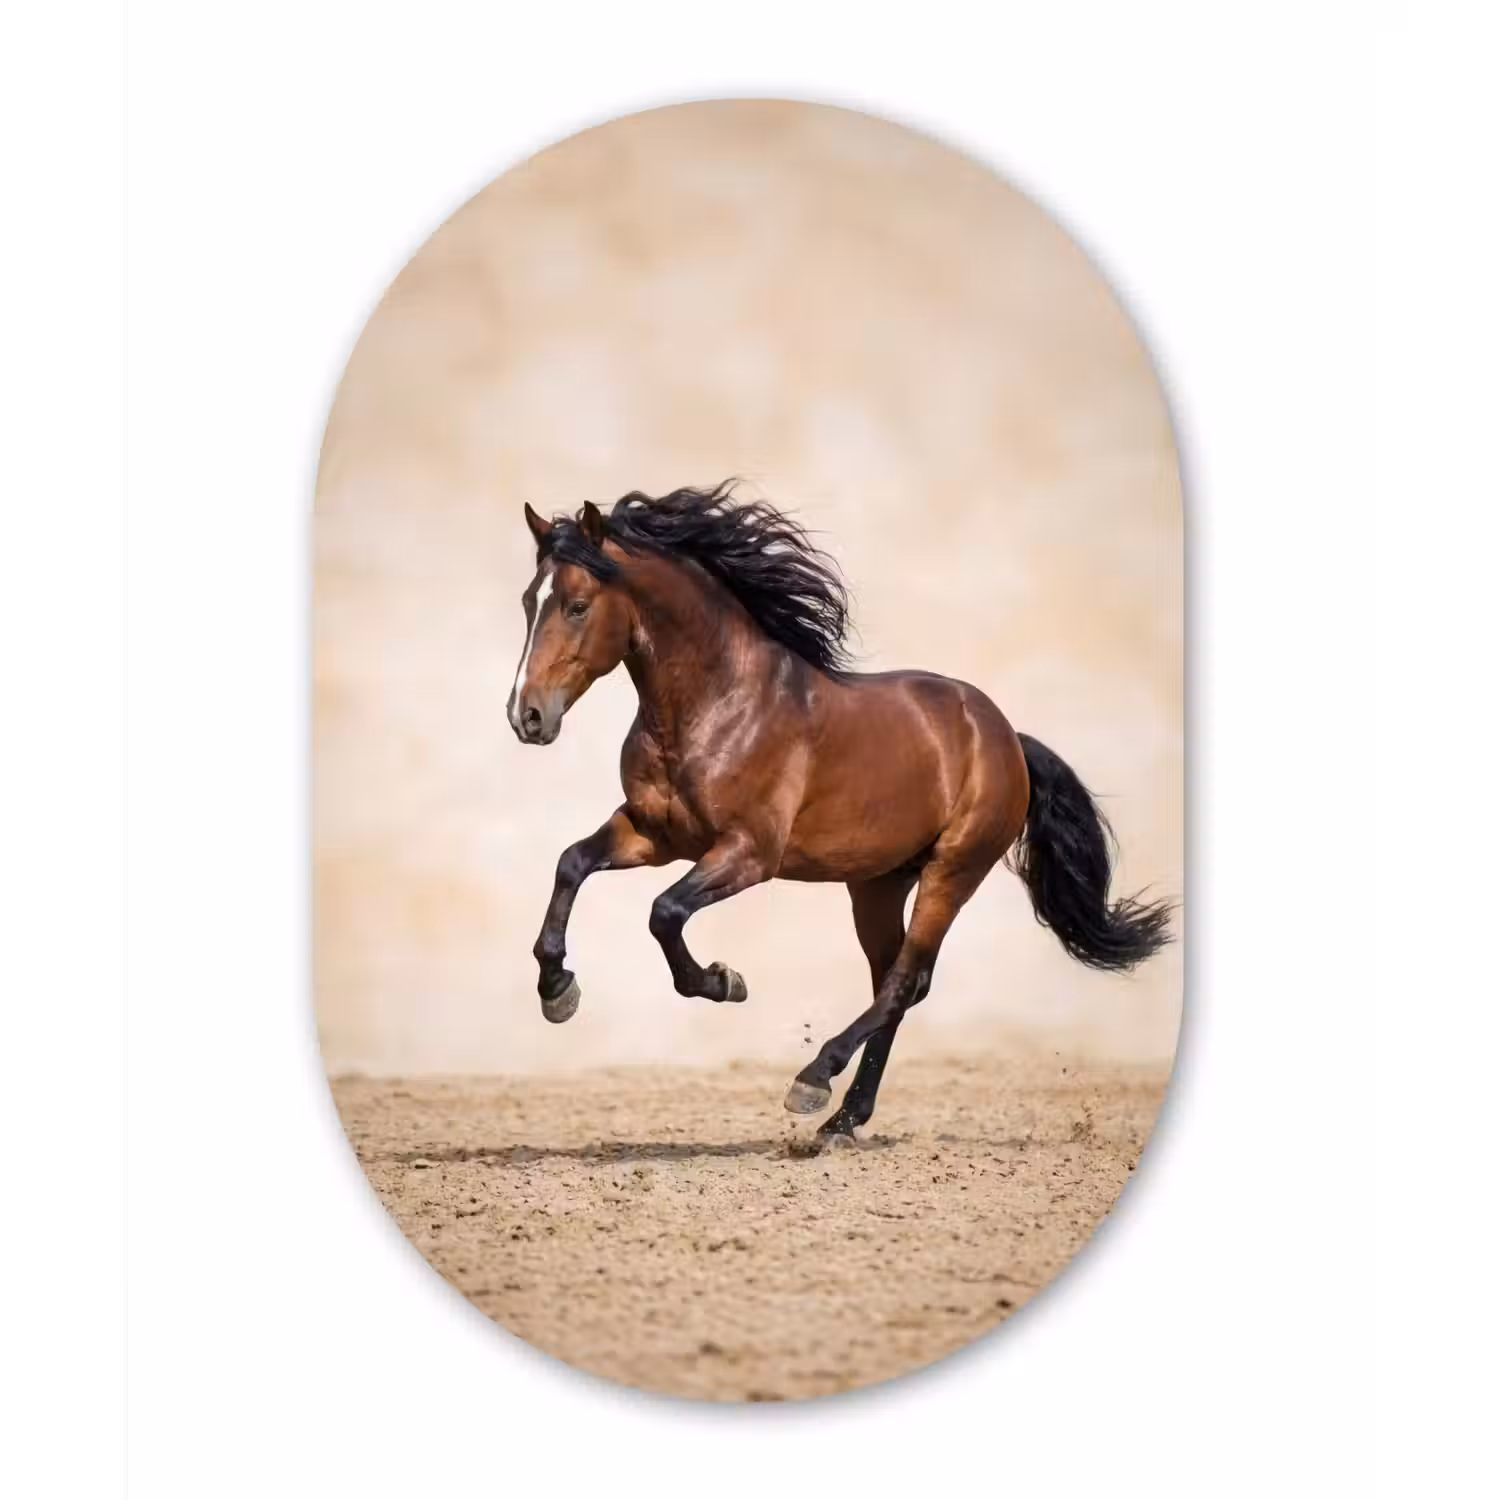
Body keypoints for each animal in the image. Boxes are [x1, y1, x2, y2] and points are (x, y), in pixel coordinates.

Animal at [507, 484, 1172, 1138]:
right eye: (527, 601)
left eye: (576, 605)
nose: (526, 716)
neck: (716, 703)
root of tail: (1006, 737)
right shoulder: (653, 835)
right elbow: (572, 864)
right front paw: (557, 991)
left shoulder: (749, 854)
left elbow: (664, 912)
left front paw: (724, 982)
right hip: (876, 884)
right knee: (898, 983)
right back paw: (846, 1117)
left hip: (952, 871)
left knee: (904, 981)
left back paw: (815, 1081)